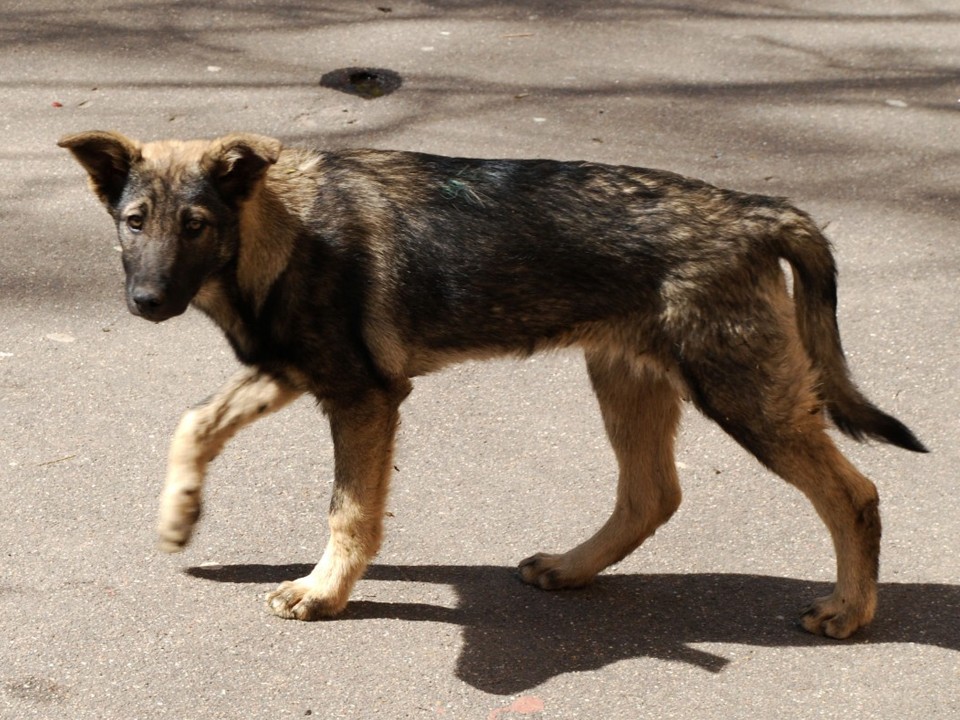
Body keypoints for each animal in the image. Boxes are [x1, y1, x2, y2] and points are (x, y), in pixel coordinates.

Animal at [58, 132, 924, 640]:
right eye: (135, 222)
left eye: (195, 225)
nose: (147, 302)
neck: (279, 226)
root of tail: (755, 211)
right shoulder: (296, 371)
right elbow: (196, 421)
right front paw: (180, 515)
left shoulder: (363, 397)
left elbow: (349, 512)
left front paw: (323, 593)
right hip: (629, 381)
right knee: (652, 495)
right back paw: (572, 568)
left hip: (743, 395)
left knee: (854, 495)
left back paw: (850, 610)